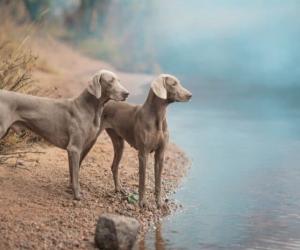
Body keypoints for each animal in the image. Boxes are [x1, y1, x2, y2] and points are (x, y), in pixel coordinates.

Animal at [0, 69, 129, 200]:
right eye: (110, 81)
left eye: (119, 80)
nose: (126, 93)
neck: (89, 108)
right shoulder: (74, 148)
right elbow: (76, 173)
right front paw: (77, 195)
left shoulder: (74, 149)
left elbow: (73, 172)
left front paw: (71, 189)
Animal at [100, 73, 190, 207]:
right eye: (173, 84)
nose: (190, 95)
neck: (158, 117)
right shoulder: (143, 154)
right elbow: (142, 181)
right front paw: (142, 202)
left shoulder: (160, 154)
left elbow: (158, 182)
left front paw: (159, 203)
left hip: (119, 143)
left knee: (114, 166)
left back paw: (118, 189)